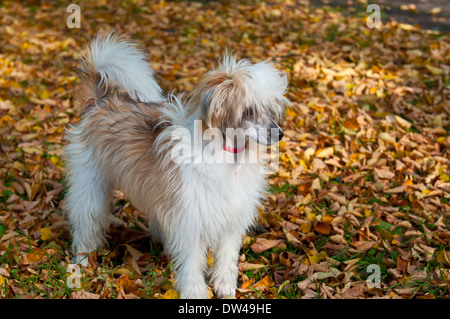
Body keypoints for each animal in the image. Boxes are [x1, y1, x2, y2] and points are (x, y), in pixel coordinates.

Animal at [63, 33, 290, 300]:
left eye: (271, 109)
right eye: (249, 110)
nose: (279, 134)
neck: (228, 155)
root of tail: (98, 101)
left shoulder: (231, 217)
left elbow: (226, 255)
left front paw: (225, 285)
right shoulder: (190, 219)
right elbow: (191, 260)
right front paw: (194, 291)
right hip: (89, 188)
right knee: (86, 222)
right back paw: (82, 261)